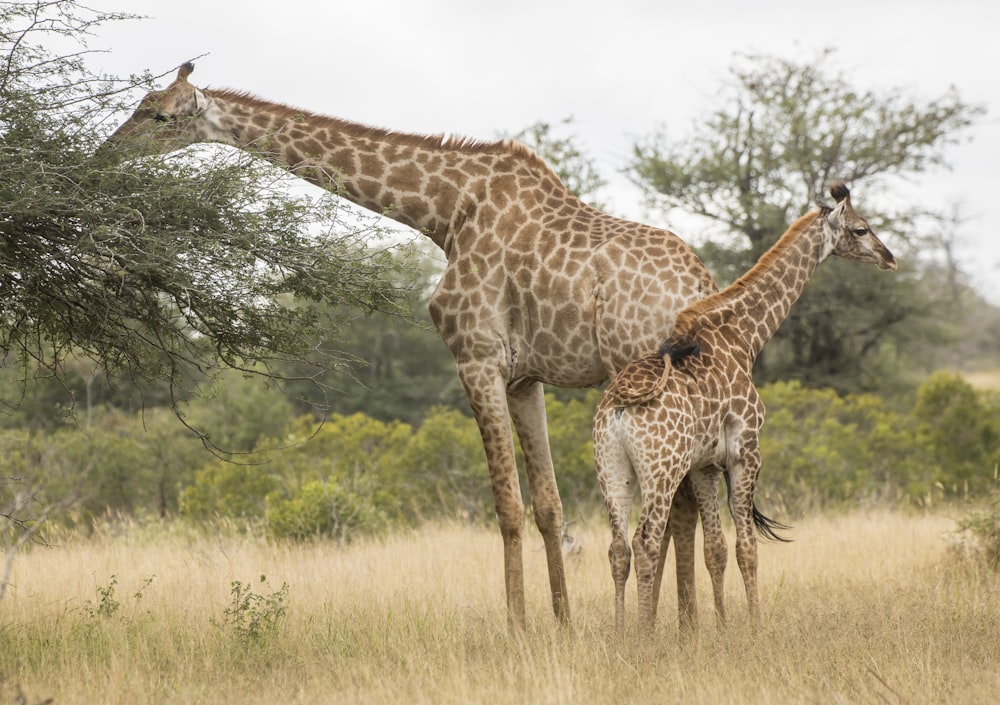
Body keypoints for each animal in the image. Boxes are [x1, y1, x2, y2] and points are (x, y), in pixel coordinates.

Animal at [101, 63, 724, 628]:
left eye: (157, 114)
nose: (104, 155)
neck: (446, 213)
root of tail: (700, 285)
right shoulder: (524, 376)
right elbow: (548, 505)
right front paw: (563, 624)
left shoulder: (475, 357)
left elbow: (506, 505)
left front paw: (518, 627)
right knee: (686, 503)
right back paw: (689, 624)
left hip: (640, 378)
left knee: (676, 506)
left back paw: (667, 626)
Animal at [592, 182, 900, 632]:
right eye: (861, 229)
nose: (888, 257)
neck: (744, 336)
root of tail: (618, 407)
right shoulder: (746, 451)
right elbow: (747, 548)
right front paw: (756, 627)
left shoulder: (703, 465)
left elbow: (716, 548)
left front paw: (722, 628)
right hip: (660, 470)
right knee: (645, 541)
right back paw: (644, 635)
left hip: (613, 469)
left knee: (618, 548)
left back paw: (620, 634)